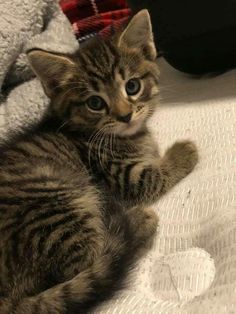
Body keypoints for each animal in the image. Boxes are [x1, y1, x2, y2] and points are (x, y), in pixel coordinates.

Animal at [0, 9, 198, 314]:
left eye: (132, 86)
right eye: (95, 103)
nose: (125, 115)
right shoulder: (123, 177)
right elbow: (153, 175)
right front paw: (183, 151)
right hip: (57, 195)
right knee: (93, 263)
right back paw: (137, 222)